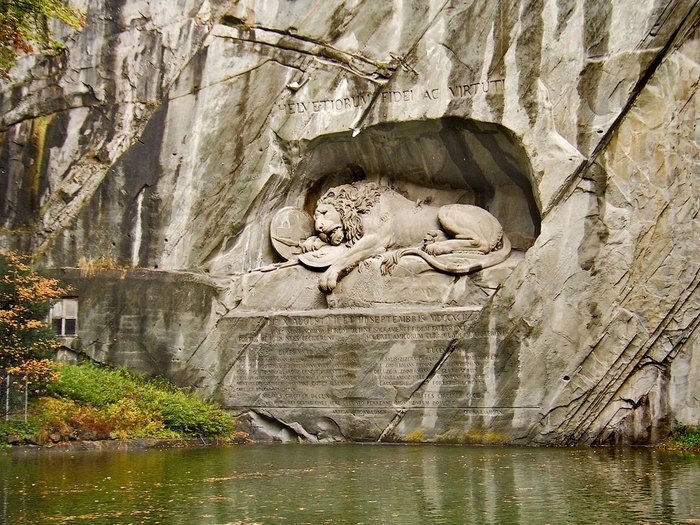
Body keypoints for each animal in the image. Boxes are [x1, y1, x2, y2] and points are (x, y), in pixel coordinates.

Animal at [270, 182, 512, 292]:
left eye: (324, 212)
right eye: (315, 218)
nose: (319, 228)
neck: (357, 211)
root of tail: (500, 226)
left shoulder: (376, 239)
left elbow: (346, 256)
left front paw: (328, 276)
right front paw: (310, 243)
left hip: (447, 210)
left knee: (481, 244)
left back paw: (437, 247)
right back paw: (433, 239)